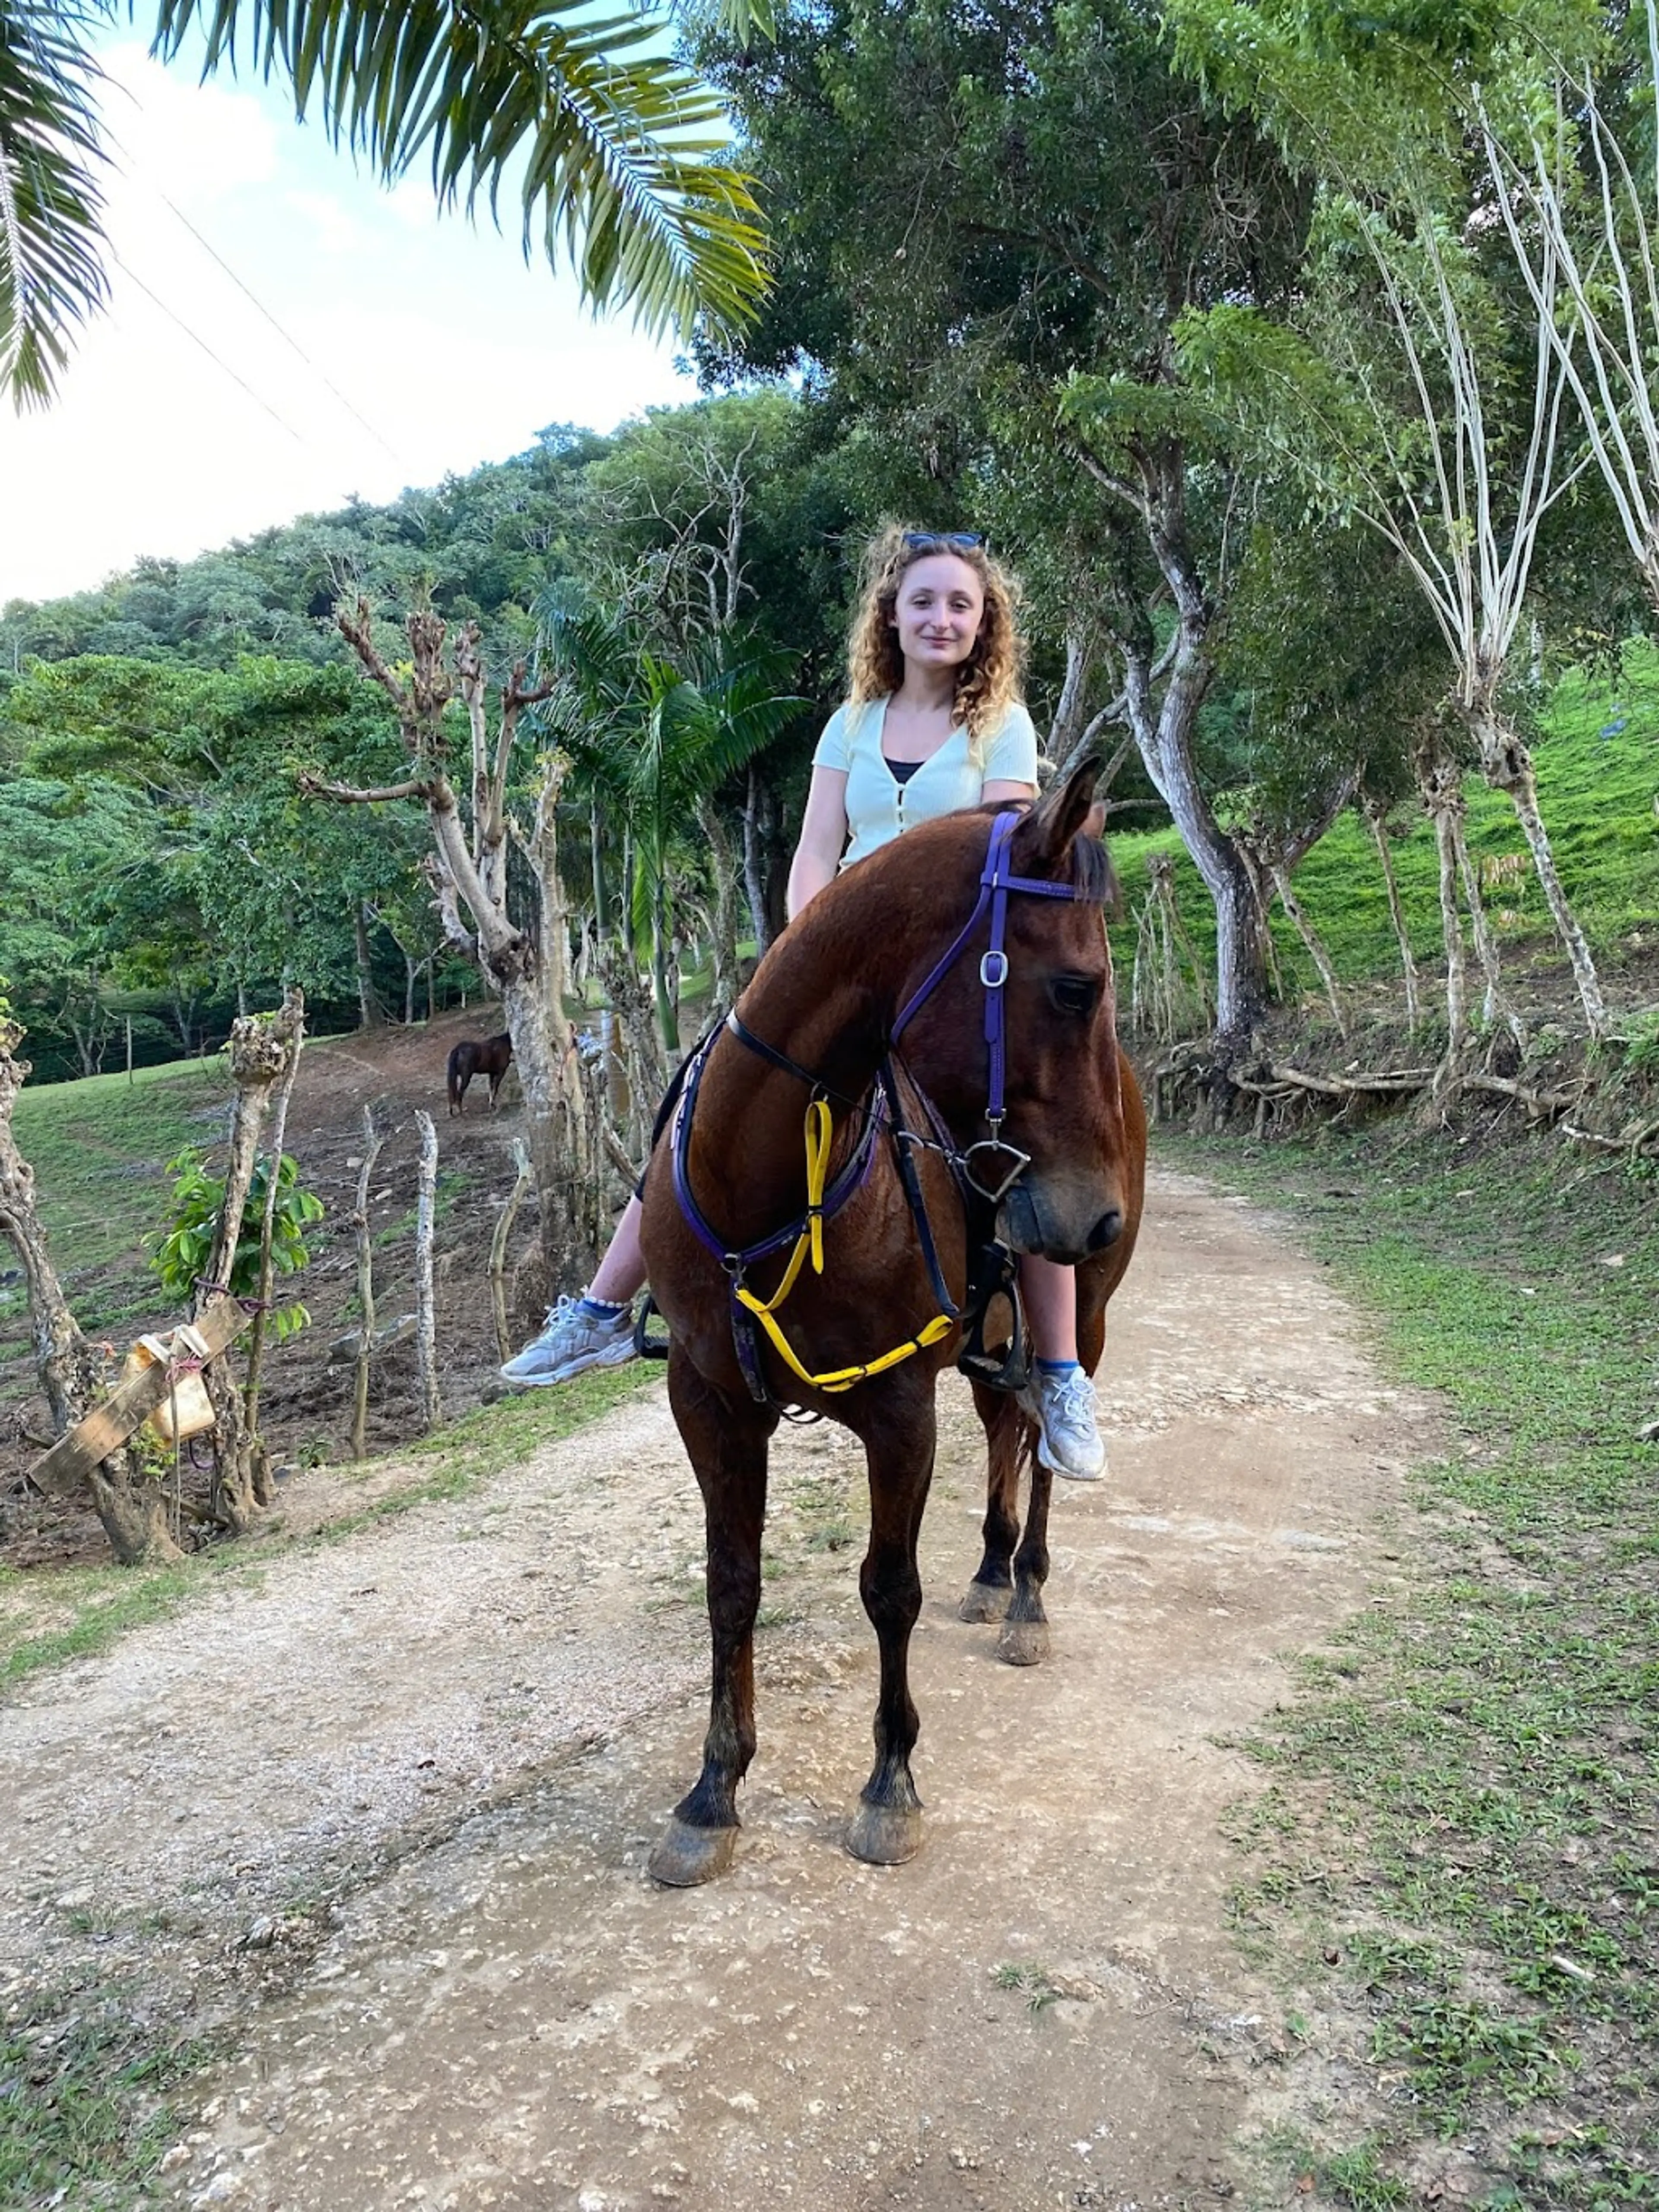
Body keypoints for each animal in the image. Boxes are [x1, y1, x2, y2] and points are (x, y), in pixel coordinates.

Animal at [449, 1026, 513, 1114]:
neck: (504, 1044)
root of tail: (458, 1050)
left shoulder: (492, 1073)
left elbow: (491, 1088)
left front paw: (491, 1105)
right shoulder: (501, 1072)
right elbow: (495, 1089)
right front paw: (493, 1106)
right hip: (466, 1077)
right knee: (459, 1093)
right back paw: (461, 1112)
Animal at [641, 765, 1150, 1884]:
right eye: (1077, 988)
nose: (1098, 1216)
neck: (768, 1181)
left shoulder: (900, 1407)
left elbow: (888, 1589)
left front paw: (890, 1786)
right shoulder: (709, 1401)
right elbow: (730, 1585)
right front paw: (711, 1791)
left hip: (1080, 1312)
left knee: (1044, 1443)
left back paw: (1027, 1594)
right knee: (1006, 1428)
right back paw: (994, 1568)